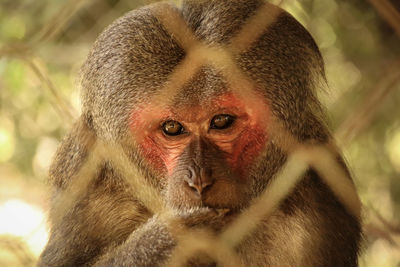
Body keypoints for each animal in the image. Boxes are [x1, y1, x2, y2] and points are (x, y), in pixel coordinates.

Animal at [39, 0, 360, 267]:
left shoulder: (319, 201)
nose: (199, 180)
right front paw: (167, 244)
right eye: (172, 128)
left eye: (221, 121)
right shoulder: (85, 177)